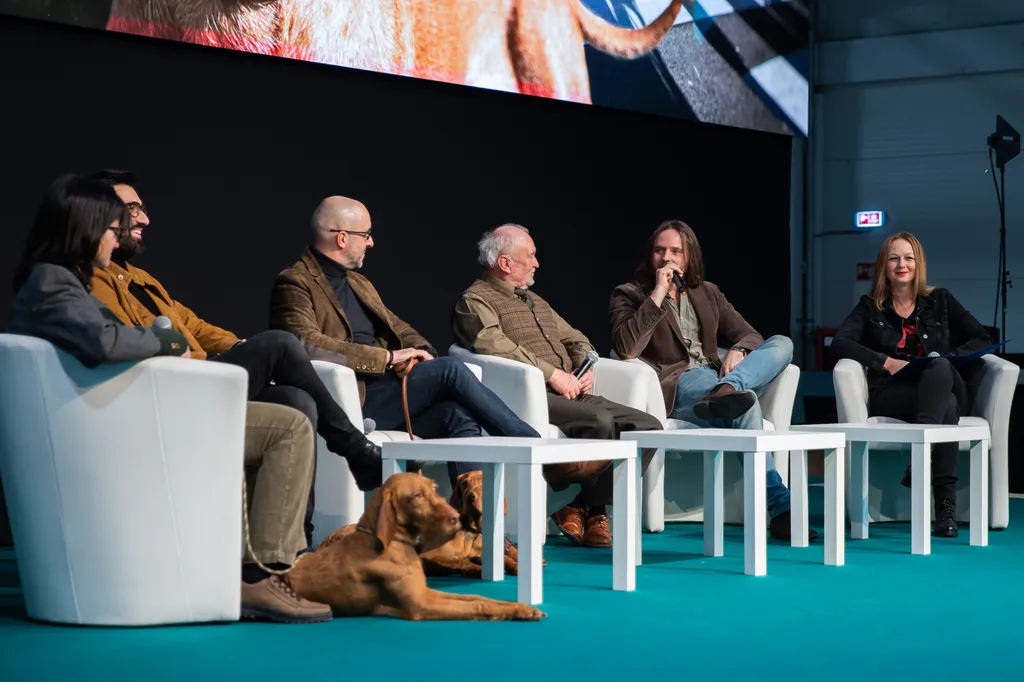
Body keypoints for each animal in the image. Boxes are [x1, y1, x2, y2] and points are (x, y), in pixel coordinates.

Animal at [288, 471, 544, 618]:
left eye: (482, 483)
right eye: (464, 484)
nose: (471, 496)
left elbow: (482, 592)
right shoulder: (426, 583)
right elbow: (466, 573)